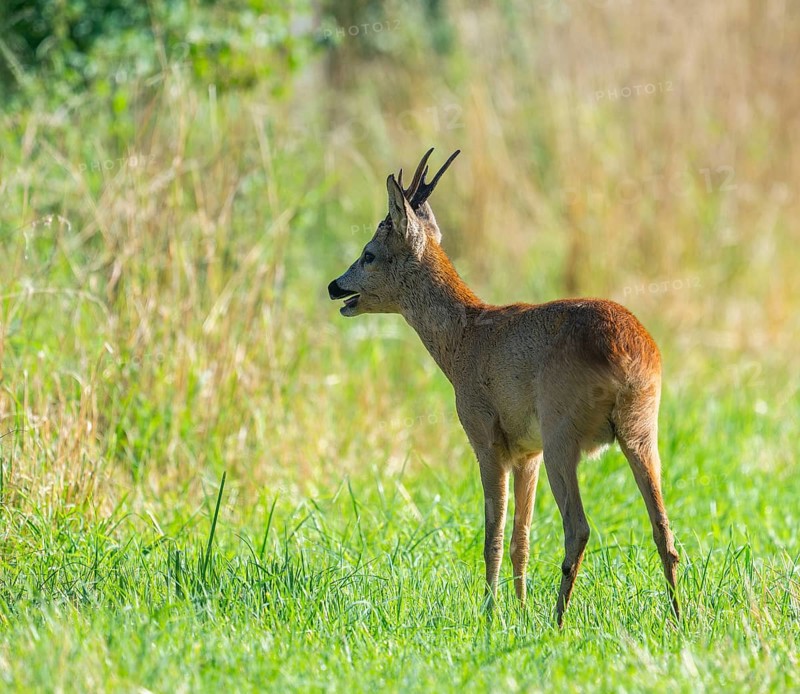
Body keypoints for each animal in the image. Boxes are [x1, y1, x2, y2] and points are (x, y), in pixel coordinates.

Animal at [327, 148, 680, 625]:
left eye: (368, 254)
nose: (334, 287)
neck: (465, 338)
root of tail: (629, 352)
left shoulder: (486, 437)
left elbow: (492, 535)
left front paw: (491, 614)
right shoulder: (526, 453)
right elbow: (521, 539)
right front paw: (519, 608)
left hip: (562, 434)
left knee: (579, 527)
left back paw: (558, 620)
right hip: (641, 431)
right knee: (663, 528)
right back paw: (681, 615)